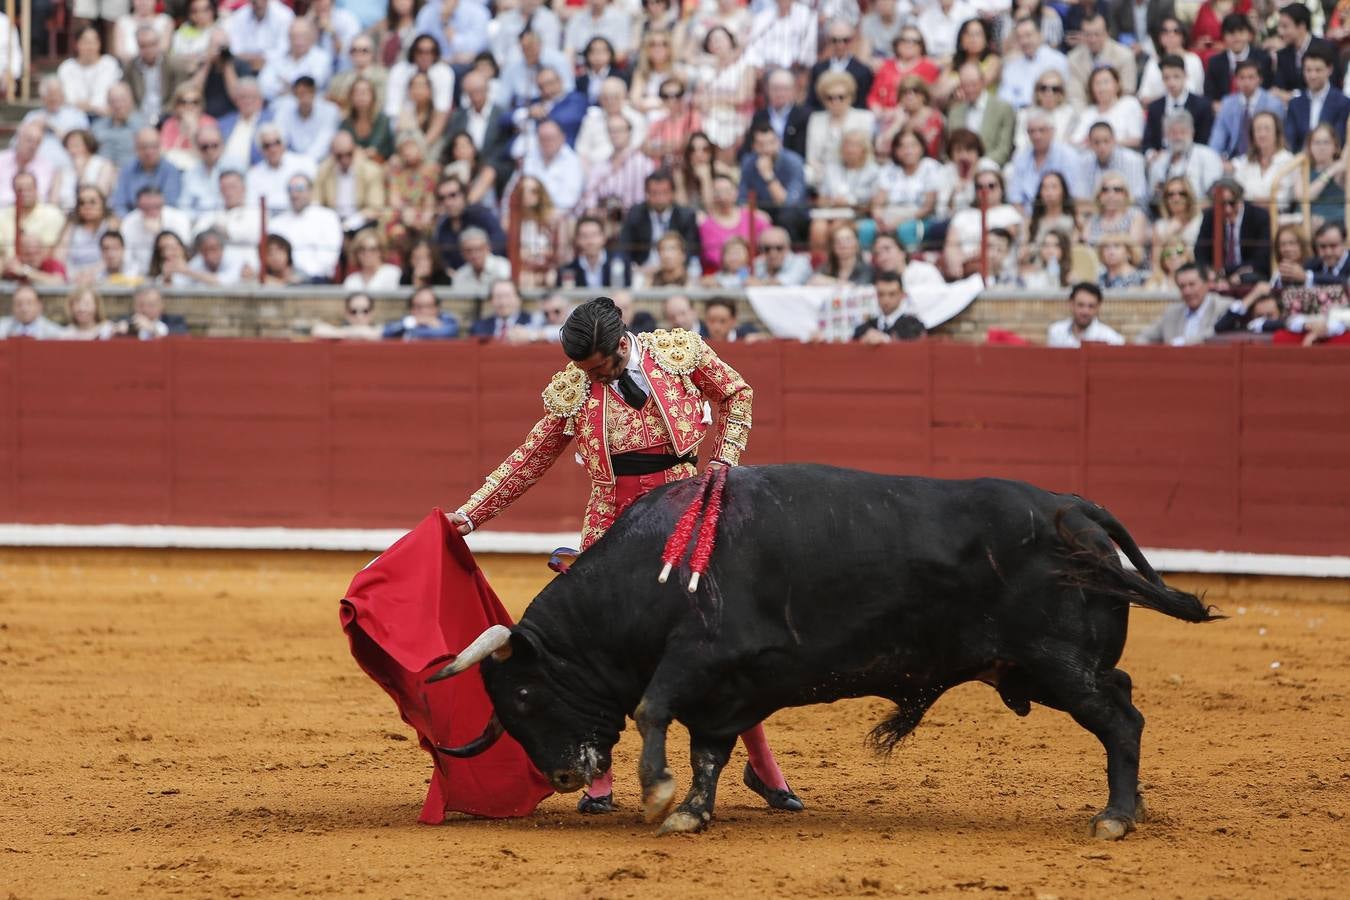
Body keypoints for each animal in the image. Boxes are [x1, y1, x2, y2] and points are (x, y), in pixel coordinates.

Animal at [426, 469, 1220, 841]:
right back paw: (1131, 808)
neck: (650, 572)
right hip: (1039, 668)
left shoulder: (701, 655)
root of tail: (1072, 507)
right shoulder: (728, 690)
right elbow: (708, 752)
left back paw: (1115, 817)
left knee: (1121, 721)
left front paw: (656, 794)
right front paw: (692, 812)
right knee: (1123, 699)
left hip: (1056, 663)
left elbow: (654, 707)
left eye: (522, 694)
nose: (562, 776)